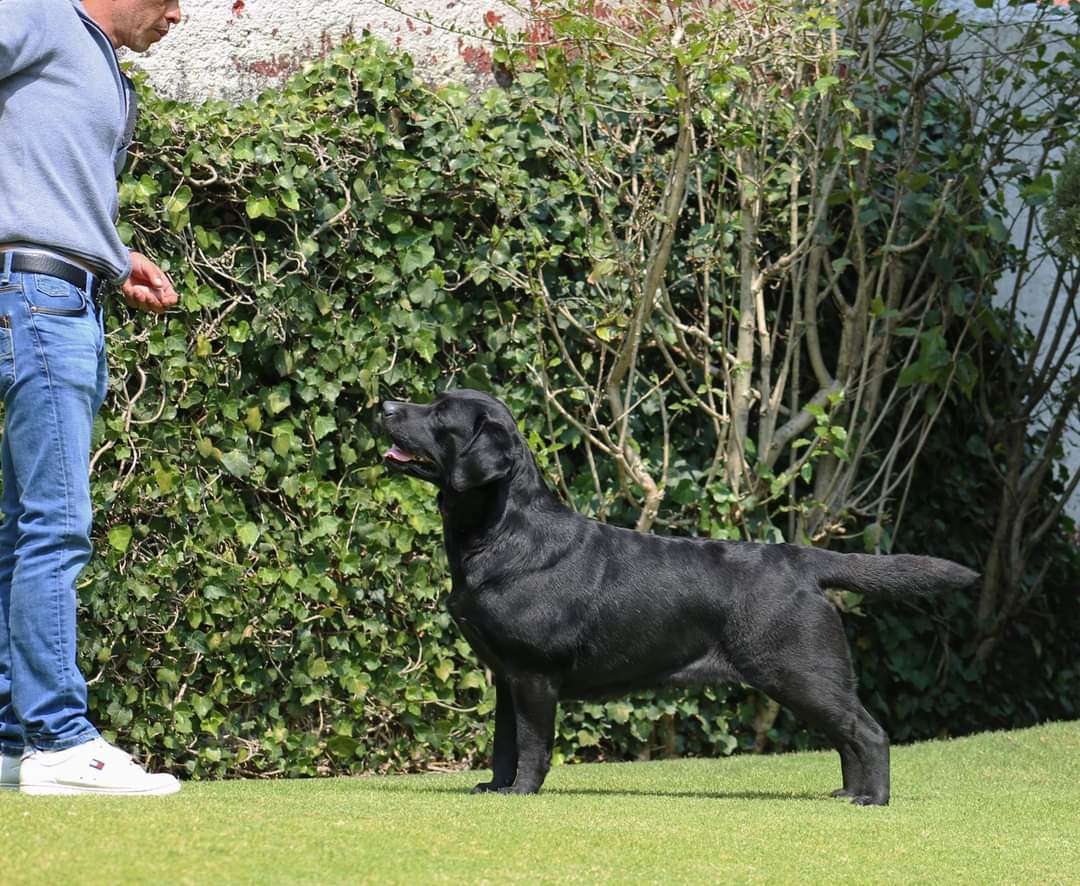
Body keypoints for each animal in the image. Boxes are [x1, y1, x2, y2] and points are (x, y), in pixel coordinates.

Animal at [380, 389, 978, 805]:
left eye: (440, 414)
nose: (384, 405)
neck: (501, 531)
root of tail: (798, 558)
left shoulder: (533, 672)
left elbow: (530, 743)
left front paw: (522, 792)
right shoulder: (505, 674)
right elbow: (503, 741)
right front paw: (494, 787)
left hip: (799, 667)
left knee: (867, 733)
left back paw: (871, 799)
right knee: (848, 736)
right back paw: (848, 792)